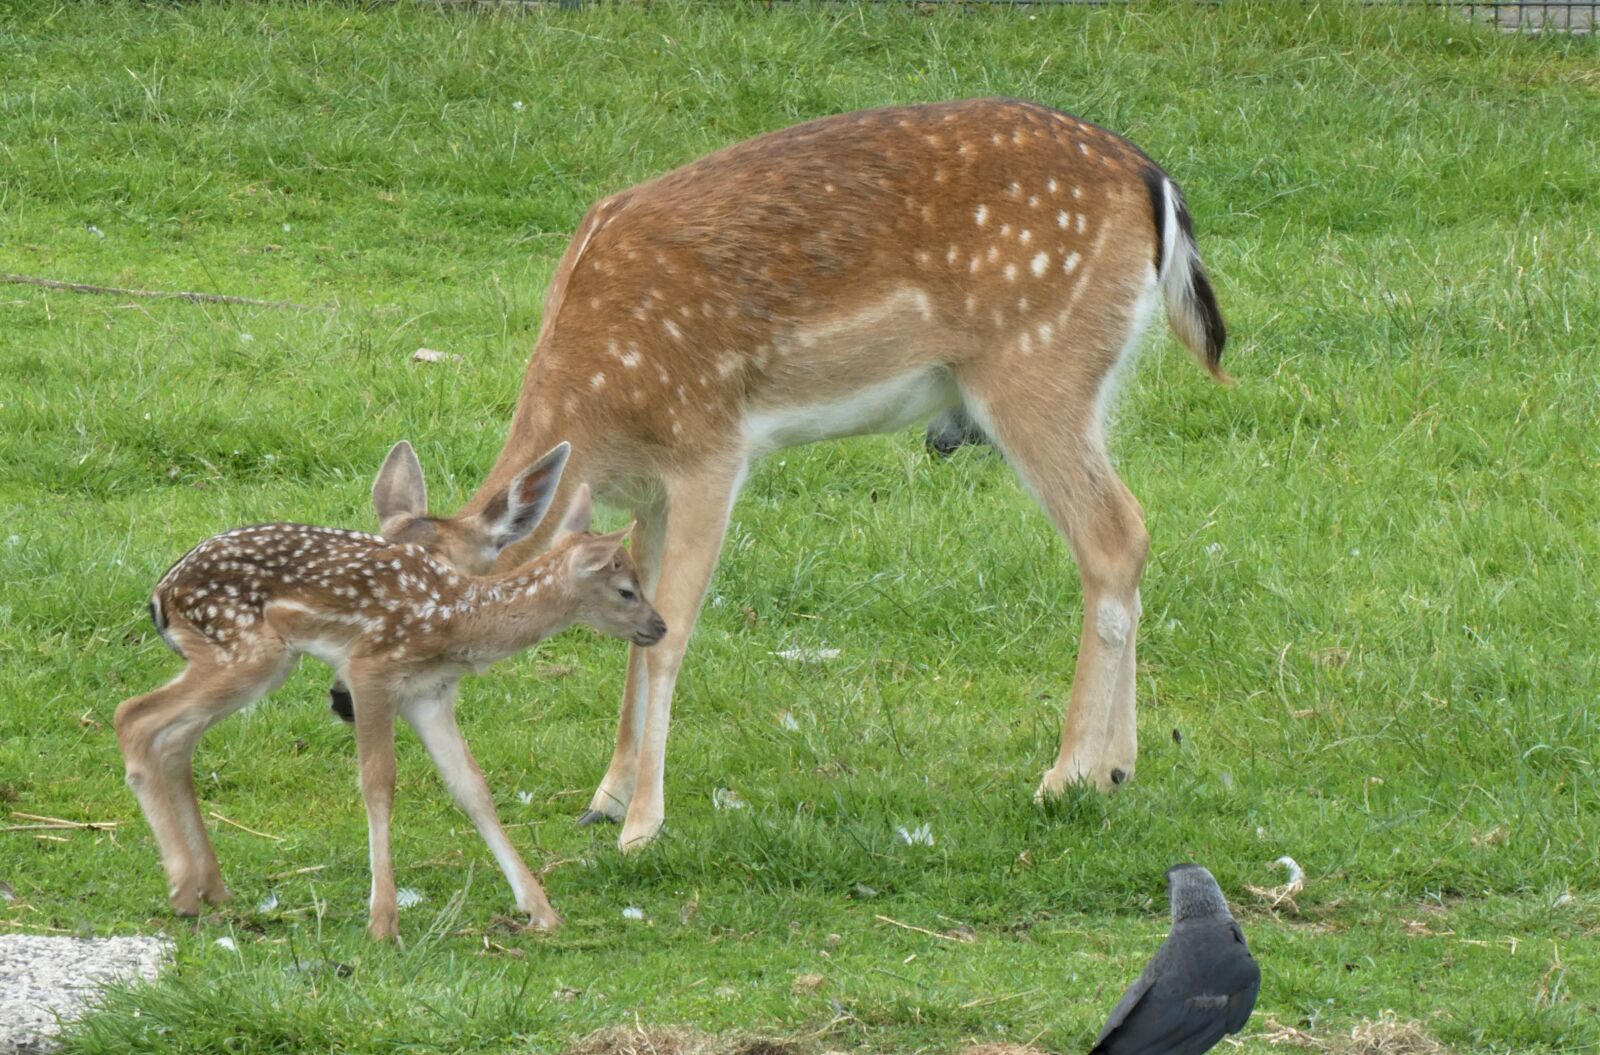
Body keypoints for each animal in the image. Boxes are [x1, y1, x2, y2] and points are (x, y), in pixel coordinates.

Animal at [113, 441, 667, 940]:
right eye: (626, 591)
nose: (658, 626)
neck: (460, 619)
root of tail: (160, 595)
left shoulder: (428, 694)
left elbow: (472, 787)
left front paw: (542, 911)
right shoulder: (371, 668)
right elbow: (378, 781)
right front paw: (383, 922)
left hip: (244, 662)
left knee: (173, 739)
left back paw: (211, 888)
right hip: (247, 651)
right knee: (133, 715)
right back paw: (182, 889)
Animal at [385, 97, 1230, 853]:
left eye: (421, 623)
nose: (359, 703)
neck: (599, 413)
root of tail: (1154, 181)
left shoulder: (709, 449)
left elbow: (669, 635)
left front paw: (642, 827)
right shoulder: (651, 495)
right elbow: (633, 631)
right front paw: (606, 797)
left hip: (1036, 365)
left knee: (1114, 534)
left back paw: (1066, 775)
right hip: (1093, 380)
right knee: (1127, 536)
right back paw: (1118, 767)